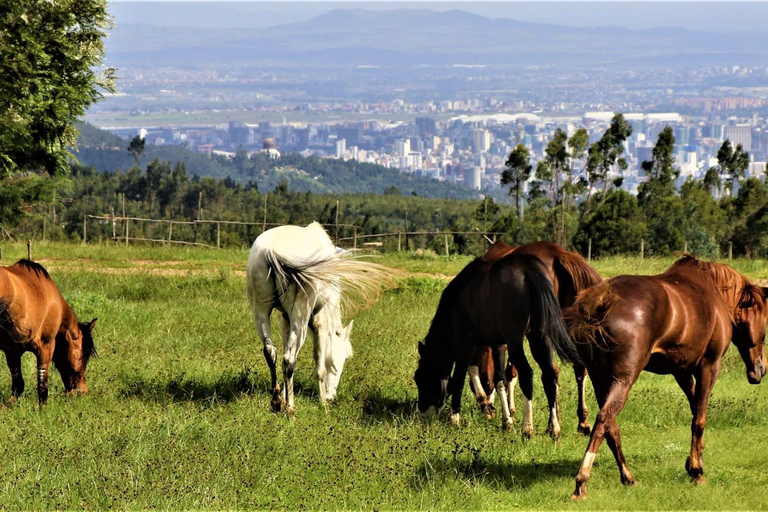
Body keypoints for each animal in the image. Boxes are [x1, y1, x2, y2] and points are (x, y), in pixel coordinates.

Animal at [0, 259, 96, 406]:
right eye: (83, 356)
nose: (83, 391)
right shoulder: (46, 345)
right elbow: (42, 382)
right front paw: (43, 407)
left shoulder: (12, 350)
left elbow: (17, 384)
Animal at [246, 222, 395, 415]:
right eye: (344, 357)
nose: (332, 396)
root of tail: (271, 251)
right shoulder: (321, 323)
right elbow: (320, 364)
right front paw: (323, 401)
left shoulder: (285, 319)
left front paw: (284, 396)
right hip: (300, 317)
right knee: (289, 359)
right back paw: (291, 408)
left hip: (260, 311)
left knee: (271, 352)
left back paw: (277, 401)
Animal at [414, 251, 583, 438]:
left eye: (420, 378)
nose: (421, 413)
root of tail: (530, 269)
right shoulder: (498, 345)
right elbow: (499, 379)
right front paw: (506, 421)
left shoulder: (464, 342)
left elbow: (458, 379)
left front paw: (455, 419)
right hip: (539, 338)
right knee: (549, 376)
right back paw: (554, 428)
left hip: (516, 342)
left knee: (527, 374)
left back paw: (527, 428)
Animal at [466, 241, 601, 436]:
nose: (487, 411)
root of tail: (557, 254)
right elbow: (511, 373)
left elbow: (502, 373)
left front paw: (503, 411)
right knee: (577, 368)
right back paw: (579, 422)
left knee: (551, 372)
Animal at [564, 255, 768, 499]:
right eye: (766, 321)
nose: (761, 369)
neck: (714, 292)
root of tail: (602, 301)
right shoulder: (709, 367)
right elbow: (699, 419)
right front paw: (697, 471)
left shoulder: (681, 371)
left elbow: (694, 410)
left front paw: (695, 461)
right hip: (623, 379)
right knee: (604, 419)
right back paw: (582, 481)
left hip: (600, 379)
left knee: (611, 427)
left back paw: (628, 477)